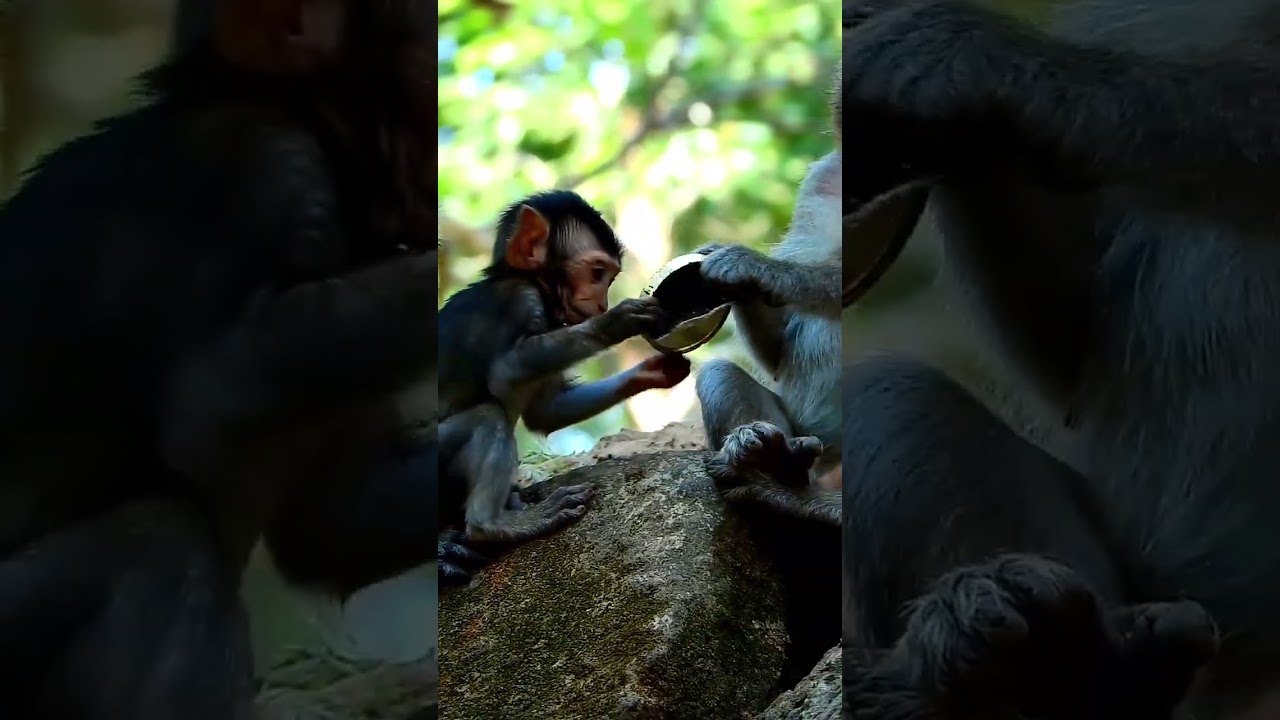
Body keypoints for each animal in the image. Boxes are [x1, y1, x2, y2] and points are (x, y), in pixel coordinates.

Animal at [436, 190, 692, 585]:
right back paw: (492, 526)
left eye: (608, 278)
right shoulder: (524, 300)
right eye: (597, 273)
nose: (601, 303)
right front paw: (615, 322)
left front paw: (655, 372)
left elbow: (545, 412)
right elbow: (506, 373)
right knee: (487, 417)